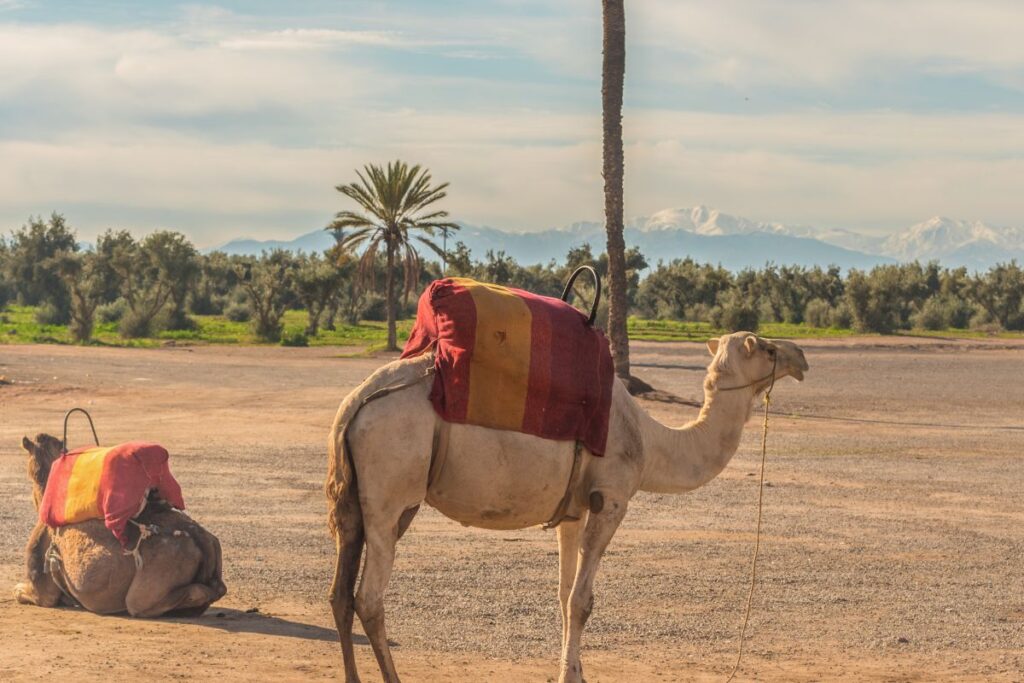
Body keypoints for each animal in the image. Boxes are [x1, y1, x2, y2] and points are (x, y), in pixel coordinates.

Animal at [325, 327, 806, 679]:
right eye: (766, 347)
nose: (801, 356)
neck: (650, 442)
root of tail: (354, 404)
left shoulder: (573, 510)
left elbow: (563, 593)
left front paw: (573, 669)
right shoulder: (611, 499)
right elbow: (582, 601)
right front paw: (570, 675)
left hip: (359, 502)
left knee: (340, 592)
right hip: (391, 491)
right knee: (369, 597)